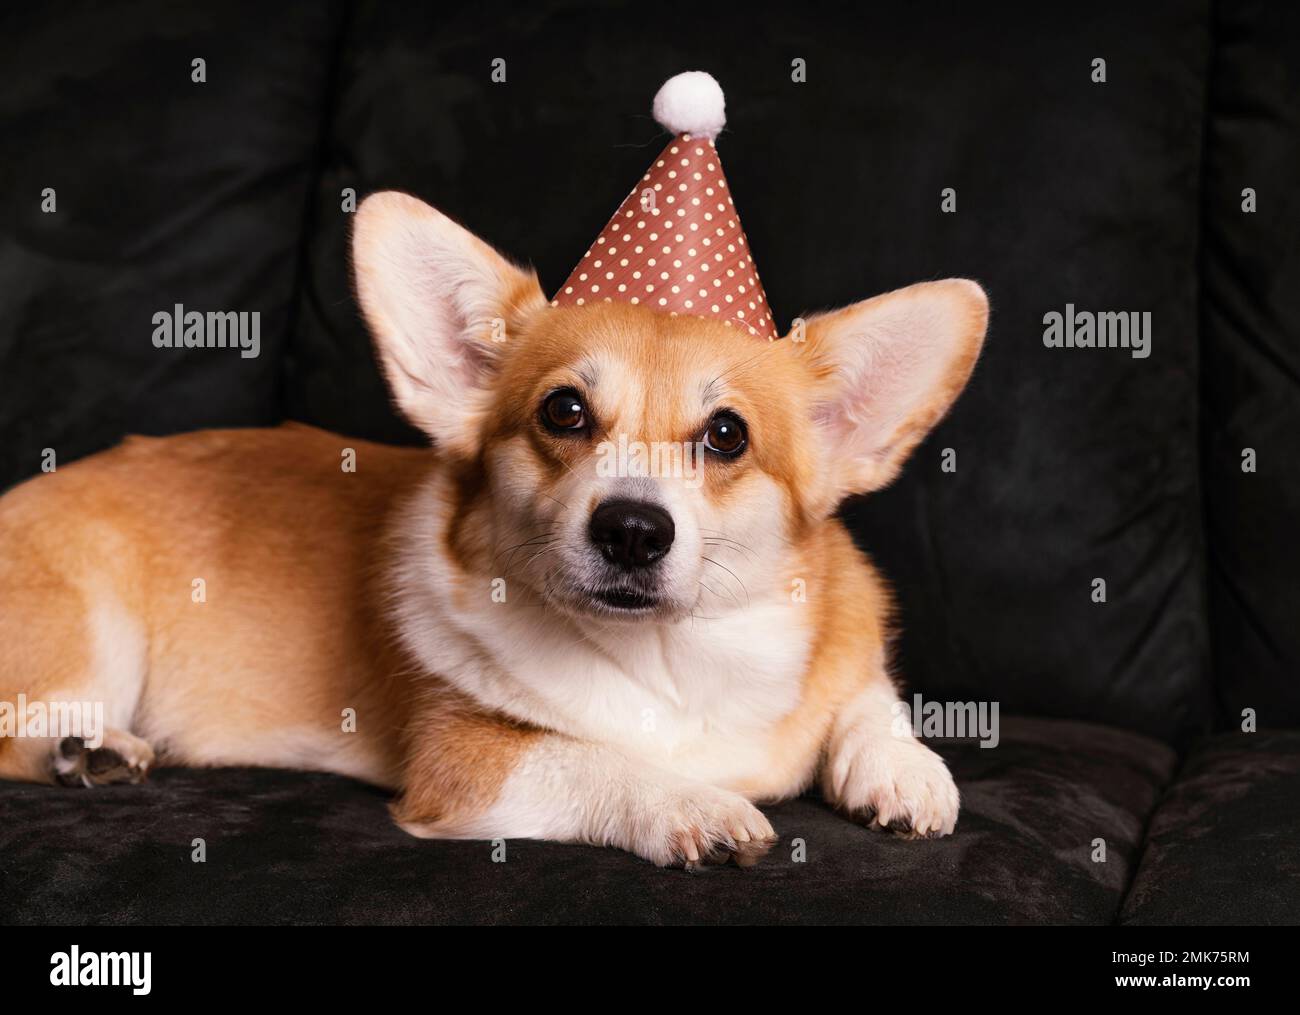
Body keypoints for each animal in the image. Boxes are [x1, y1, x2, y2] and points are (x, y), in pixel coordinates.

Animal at [0, 193, 977, 868]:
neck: (675, 657)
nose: (632, 529)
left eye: (728, 434)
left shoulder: (846, 657)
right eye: (564, 411)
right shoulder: (466, 762)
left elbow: (869, 699)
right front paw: (690, 803)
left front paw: (903, 768)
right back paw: (87, 747)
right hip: (95, 630)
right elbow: (592, 759)